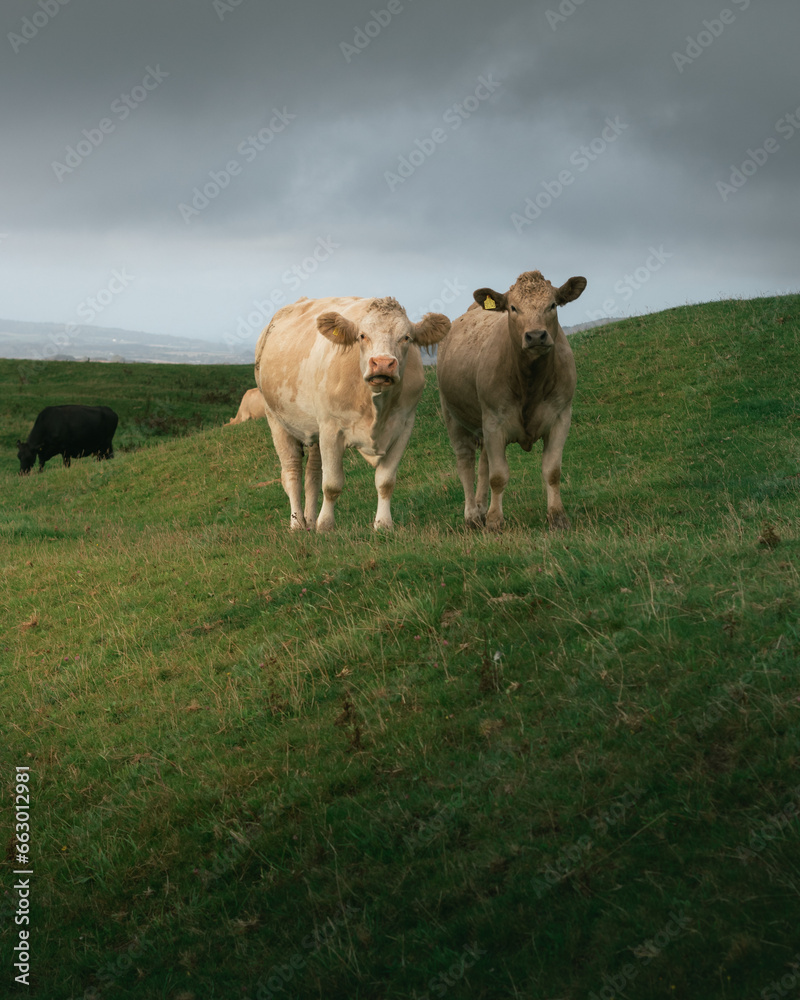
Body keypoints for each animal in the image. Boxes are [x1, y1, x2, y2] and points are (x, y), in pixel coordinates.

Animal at [254, 295, 450, 531]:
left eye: (406, 337)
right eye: (362, 336)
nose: (382, 364)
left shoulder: (403, 427)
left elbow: (386, 482)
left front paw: (383, 524)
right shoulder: (330, 429)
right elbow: (332, 484)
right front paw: (326, 525)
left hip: (314, 428)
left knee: (312, 473)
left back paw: (310, 520)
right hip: (276, 419)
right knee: (292, 472)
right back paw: (298, 524)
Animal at [437, 269, 586, 531]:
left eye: (552, 304)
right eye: (513, 308)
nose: (535, 335)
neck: (530, 382)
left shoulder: (561, 417)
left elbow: (552, 471)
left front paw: (557, 516)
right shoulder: (495, 422)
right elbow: (498, 476)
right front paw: (495, 521)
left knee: (483, 464)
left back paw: (481, 509)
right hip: (452, 416)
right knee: (465, 462)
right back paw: (472, 515)